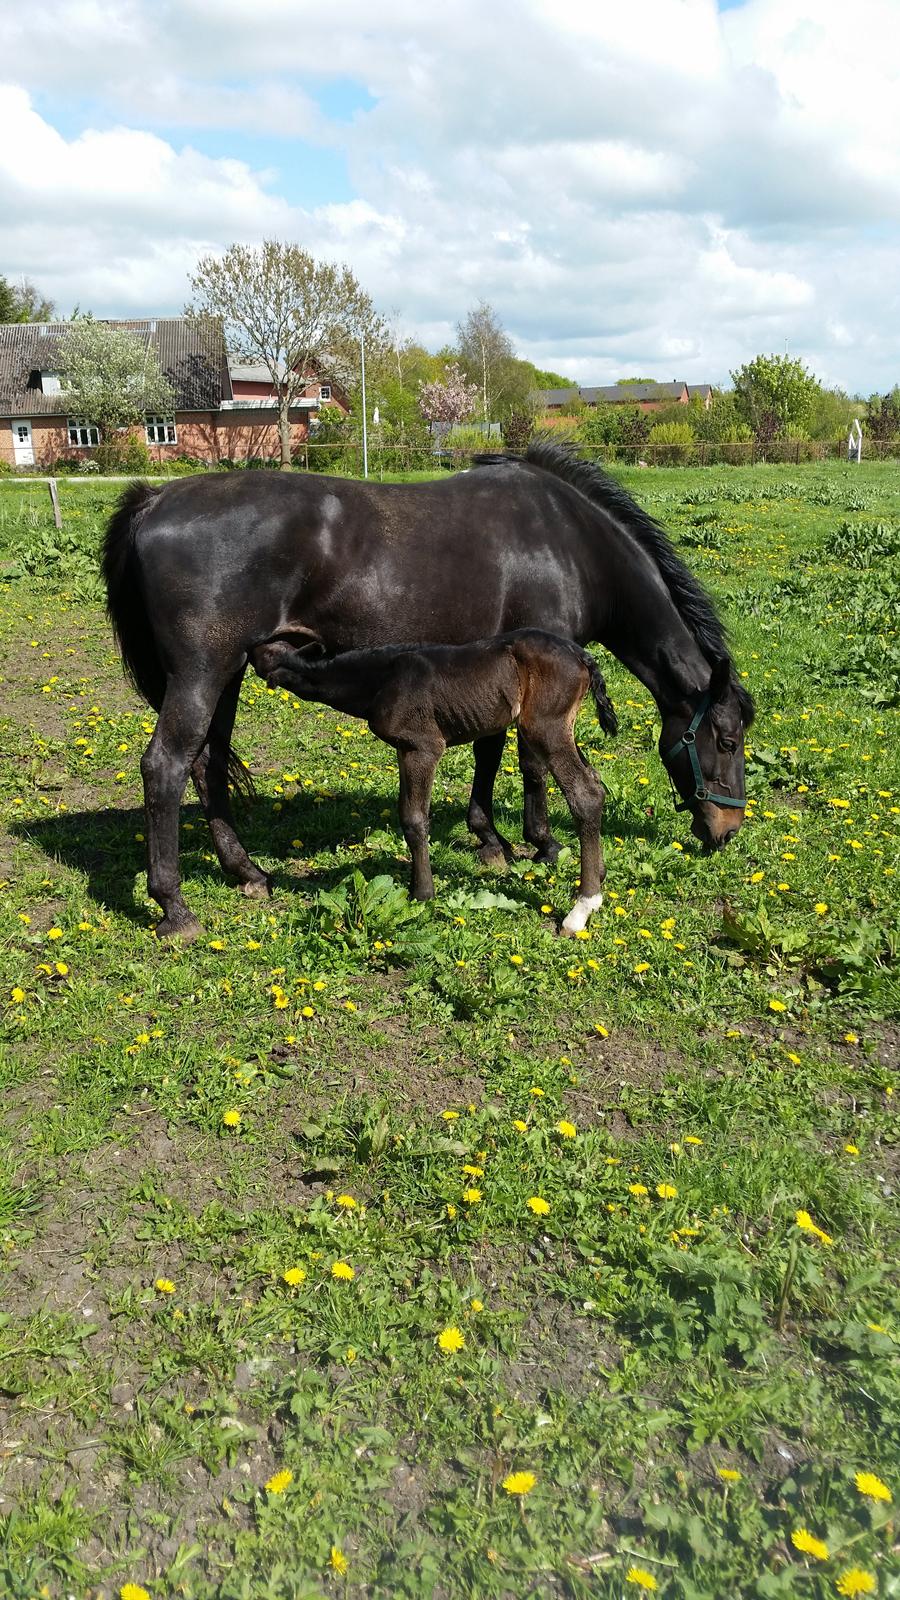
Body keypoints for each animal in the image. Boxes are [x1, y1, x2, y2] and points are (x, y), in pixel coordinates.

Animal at [103, 438, 749, 934]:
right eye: (726, 739)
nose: (726, 831)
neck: (567, 542)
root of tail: (154, 499)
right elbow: (530, 763)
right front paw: (538, 843)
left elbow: (490, 751)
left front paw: (490, 839)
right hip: (203, 672)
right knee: (166, 766)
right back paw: (174, 907)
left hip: (230, 672)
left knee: (207, 765)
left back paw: (247, 873)